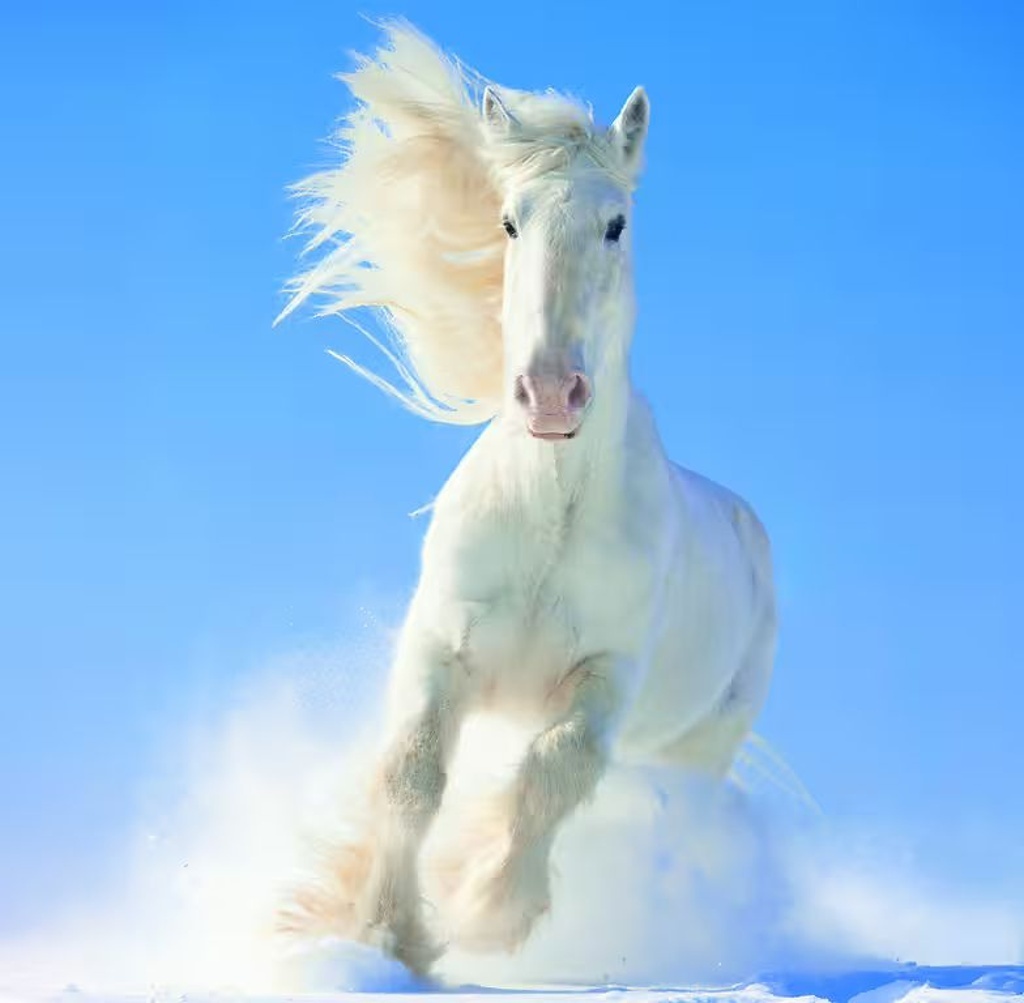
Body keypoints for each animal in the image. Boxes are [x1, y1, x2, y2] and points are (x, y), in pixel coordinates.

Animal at [277, 22, 777, 976]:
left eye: (616, 223)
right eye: (510, 220)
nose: (551, 394)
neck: (548, 513)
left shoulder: (605, 679)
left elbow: (554, 771)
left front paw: (486, 911)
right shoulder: (441, 647)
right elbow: (413, 773)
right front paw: (384, 933)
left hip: (697, 749)